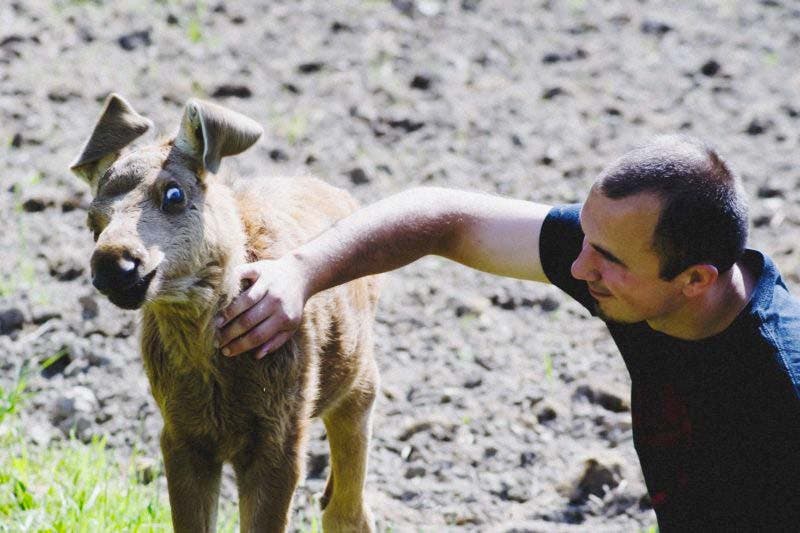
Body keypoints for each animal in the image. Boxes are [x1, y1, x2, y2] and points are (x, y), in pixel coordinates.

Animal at [69, 93, 382, 528]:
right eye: (92, 221)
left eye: (174, 194)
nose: (114, 264)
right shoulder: (180, 434)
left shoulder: (281, 438)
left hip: (358, 379)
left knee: (349, 506)